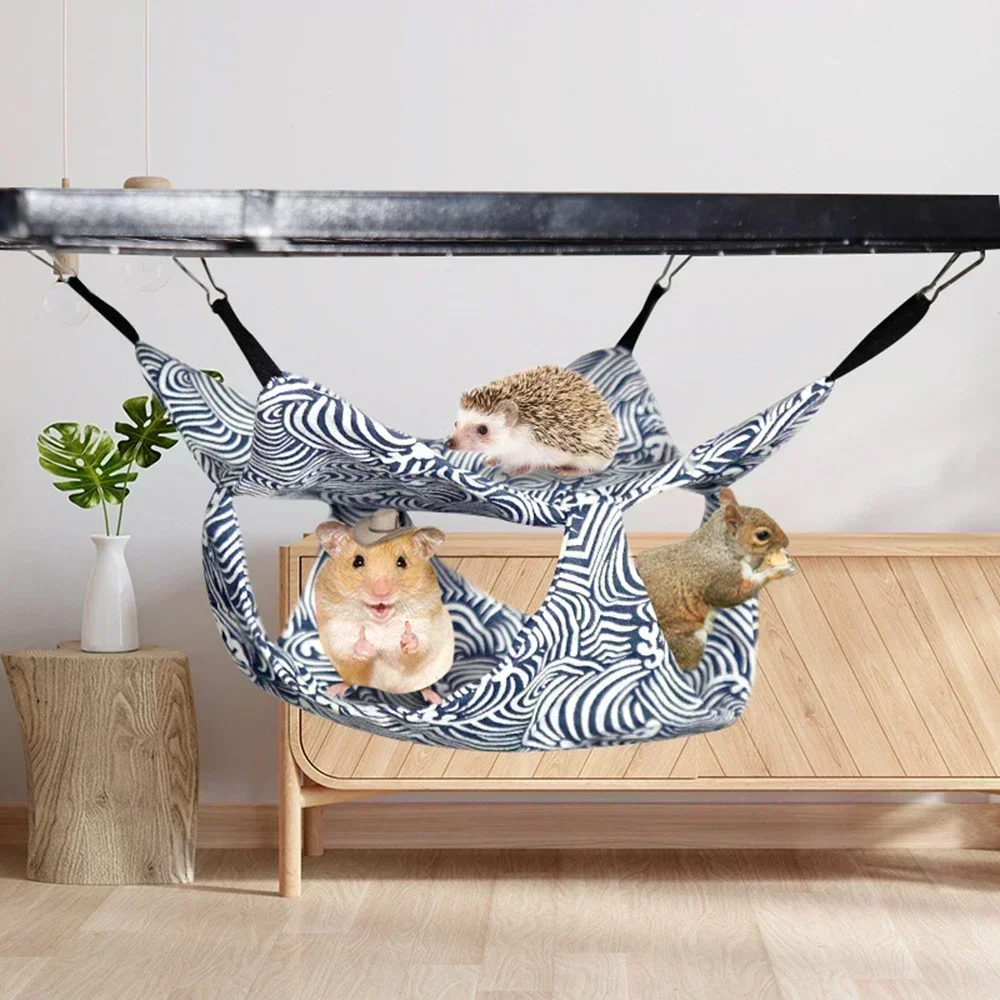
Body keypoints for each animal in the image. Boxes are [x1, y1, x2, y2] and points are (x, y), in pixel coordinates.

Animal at [313, 521, 454, 704]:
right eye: (357, 561)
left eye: (402, 562)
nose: (381, 593)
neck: (381, 622)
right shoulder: (335, 627)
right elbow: (347, 647)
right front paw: (367, 648)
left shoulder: (427, 624)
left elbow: (420, 645)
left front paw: (407, 638)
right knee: (348, 680)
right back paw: (331, 691)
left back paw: (436, 699)